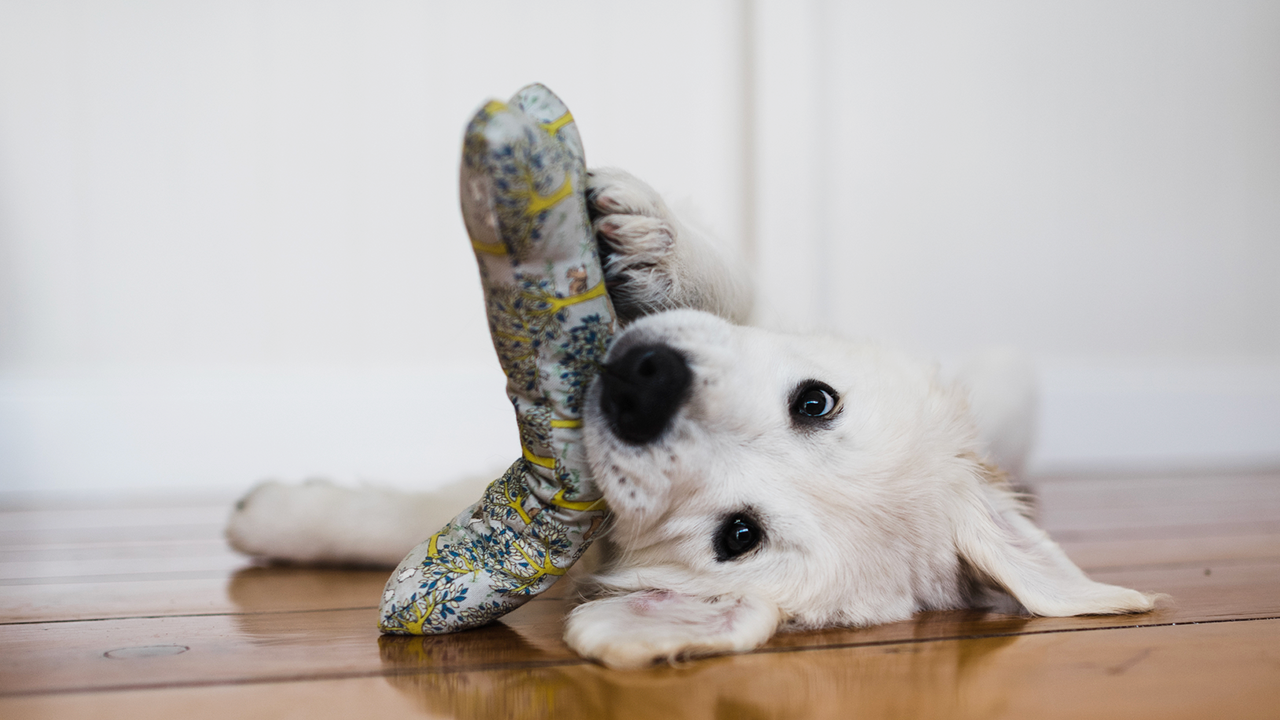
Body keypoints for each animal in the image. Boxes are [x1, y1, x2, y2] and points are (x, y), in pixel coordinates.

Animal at [225, 165, 1157, 666]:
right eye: (815, 401)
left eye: (737, 536)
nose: (644, 383)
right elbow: (735, 294)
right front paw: (652, 240)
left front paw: (273, 517)